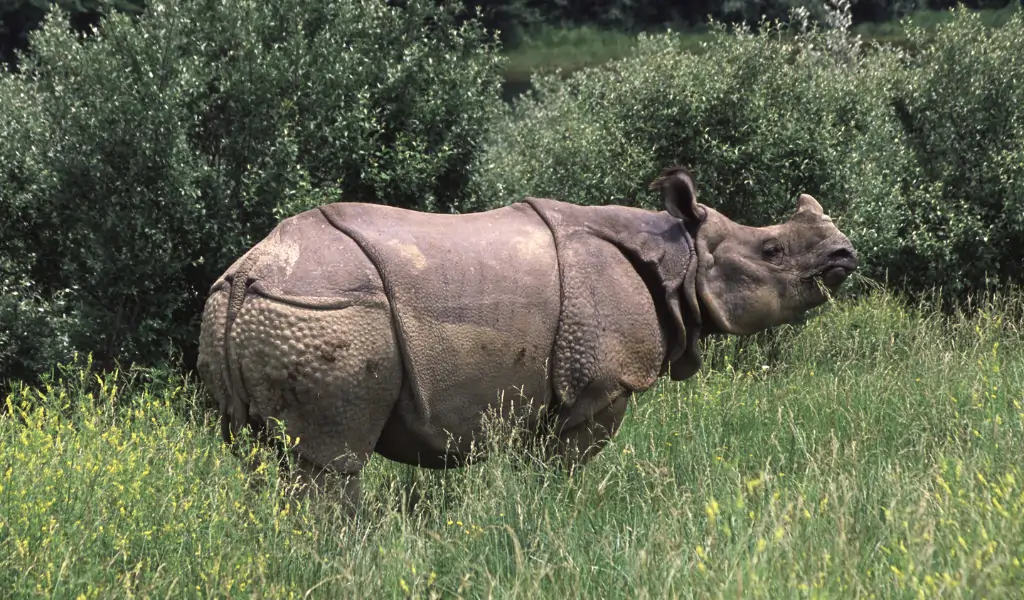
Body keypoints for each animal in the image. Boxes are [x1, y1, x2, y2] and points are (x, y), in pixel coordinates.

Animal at [196, 166, 858, 509]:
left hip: (246, 310)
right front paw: (559, 515)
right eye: (771, 251)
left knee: (264, 459)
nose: (844, 255)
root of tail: (249, 274)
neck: (681, 255)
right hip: (326, 311)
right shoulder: (600, 385)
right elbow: (564, 464)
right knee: (329, 465)